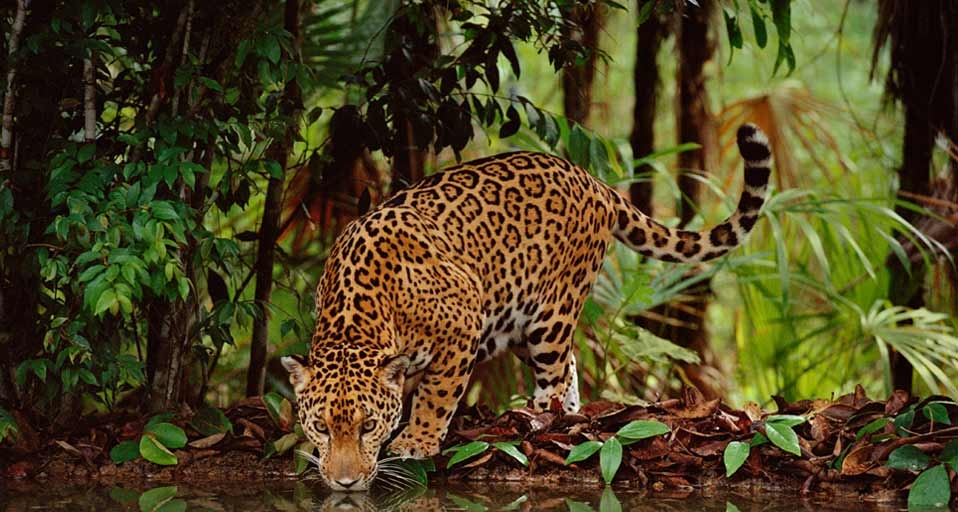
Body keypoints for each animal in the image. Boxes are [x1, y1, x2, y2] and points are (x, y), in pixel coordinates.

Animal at [282, 123, 772, 491]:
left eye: (367, 426)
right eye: (321, 427)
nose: (345, 483)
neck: (360, 315)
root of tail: (593, 181)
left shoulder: (463, 325)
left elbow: (436, 396)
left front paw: (416, 442)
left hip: (552, 312)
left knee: (554, 374)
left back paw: (542, 420)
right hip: (520, 319)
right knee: (569, 367)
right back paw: (568, 415)